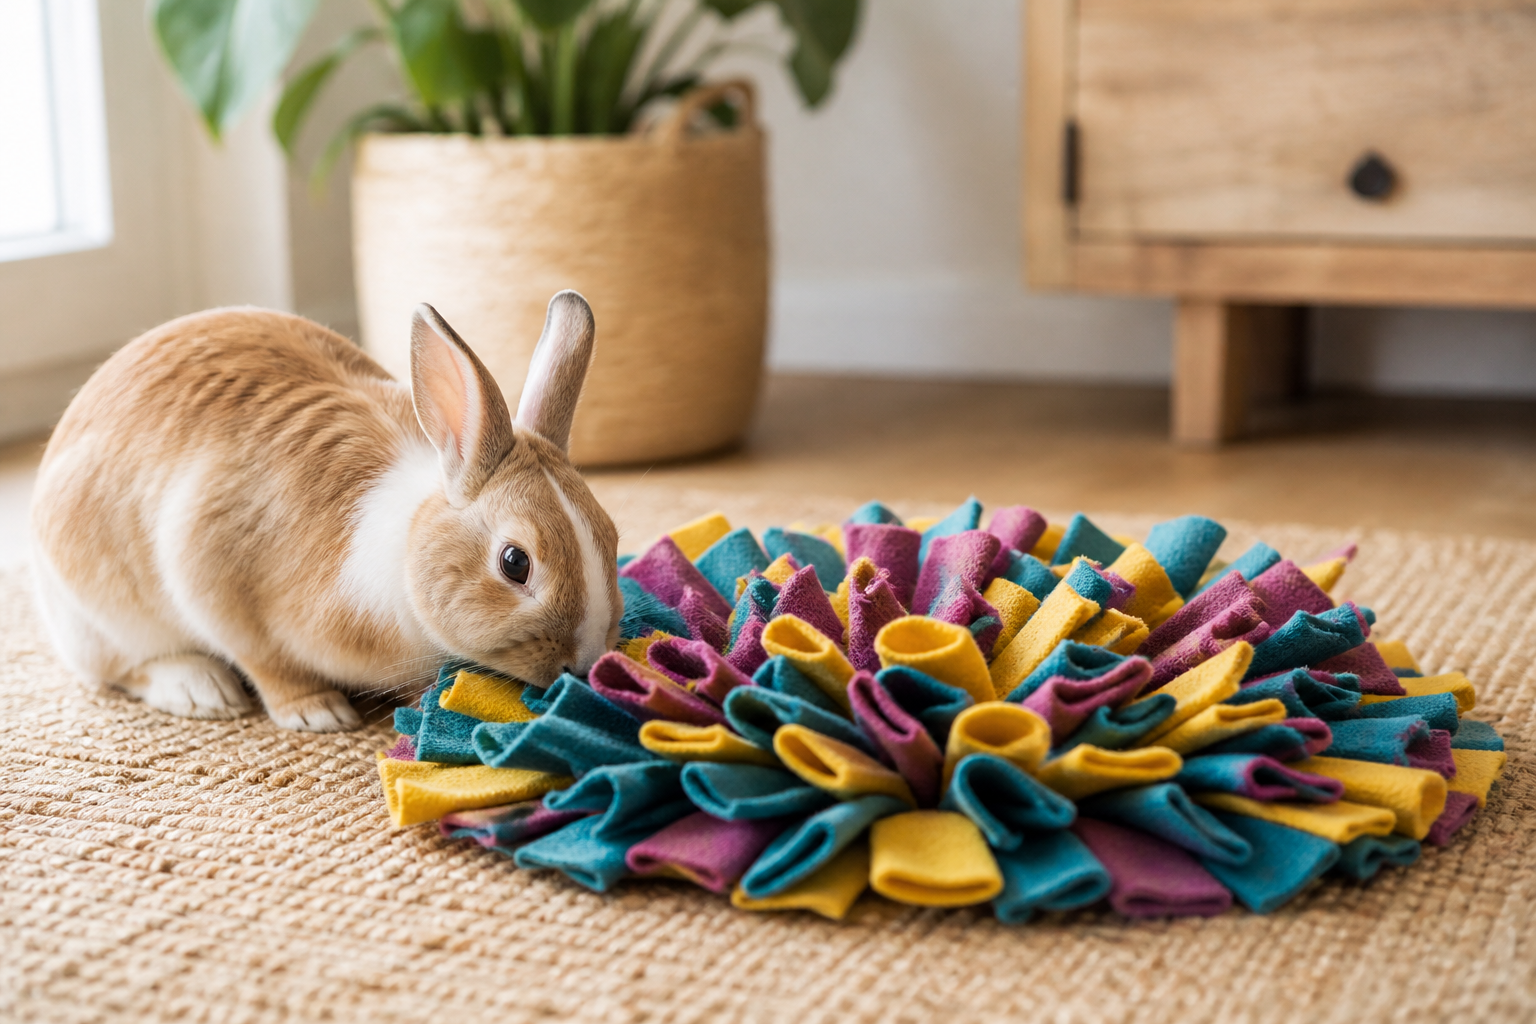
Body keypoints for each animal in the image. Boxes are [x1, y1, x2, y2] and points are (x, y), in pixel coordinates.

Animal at [29, 291, 621, 731]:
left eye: (611, 535)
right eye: (514, 563)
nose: (584, 664)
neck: (406, 550)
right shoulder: (211, 575)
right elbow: (267, 663)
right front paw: (318, 713)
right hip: (106, 610)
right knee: (121, 667)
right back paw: (202, 690)